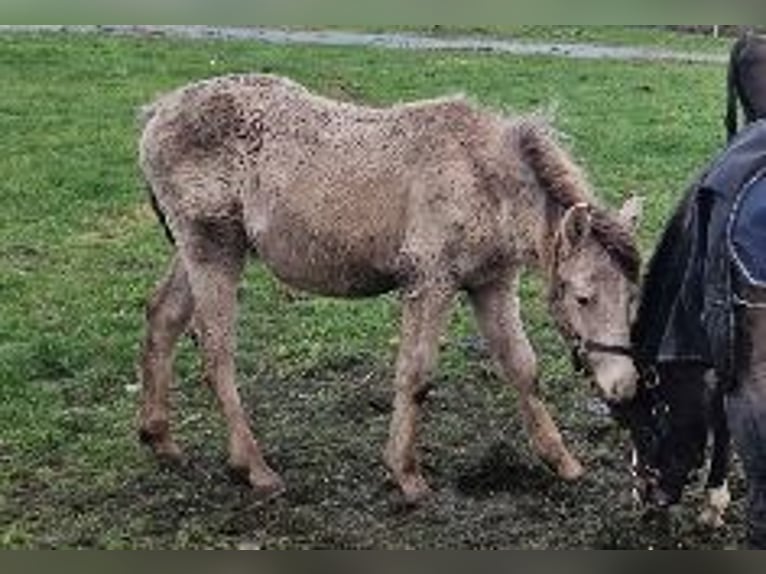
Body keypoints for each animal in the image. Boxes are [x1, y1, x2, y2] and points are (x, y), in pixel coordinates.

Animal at [137, 74, 642, 504]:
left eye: (631, 297)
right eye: (582, 297)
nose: (625, 387)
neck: (481, 178)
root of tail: (158, 110)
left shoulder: (491, 284)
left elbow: (522, 367)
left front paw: (563, 461)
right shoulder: (430, 282)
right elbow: (416, 374)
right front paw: (406, 474)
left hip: (200, 250)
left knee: (163, 317)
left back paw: (159, 438)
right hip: (213, 249)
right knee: (215, 350)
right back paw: (255, 468)